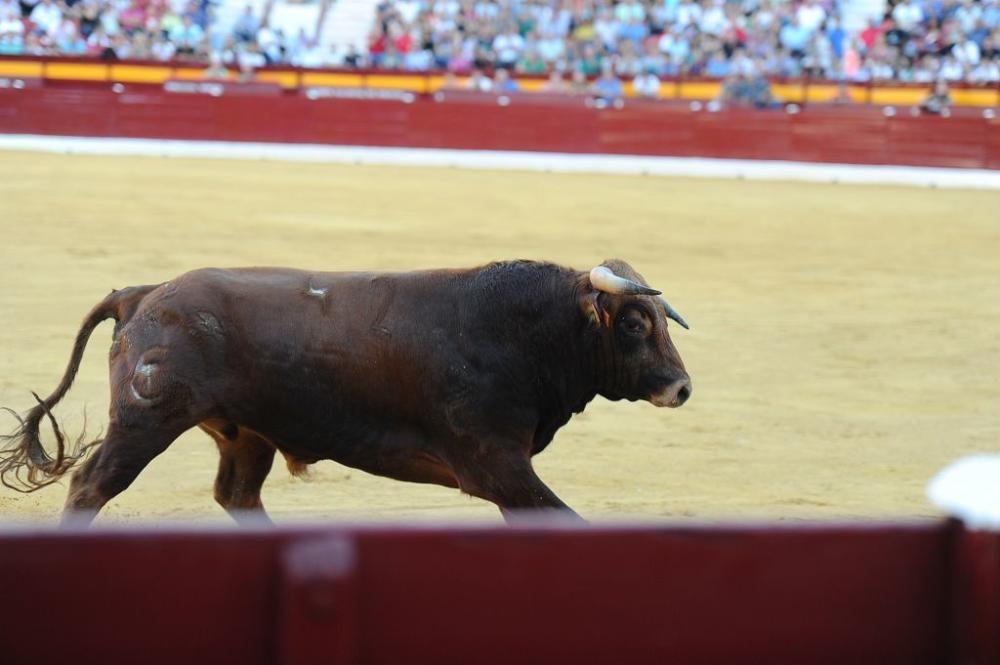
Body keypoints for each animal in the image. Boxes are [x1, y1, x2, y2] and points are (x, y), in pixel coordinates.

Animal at [0, 260, 692, 524]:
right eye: (634, 323)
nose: (682, 388)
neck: (523, 331)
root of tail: (143, 292)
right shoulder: (497, 465)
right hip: (145, 421)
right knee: (91, 486)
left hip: (244, 433)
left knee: (237, 495)